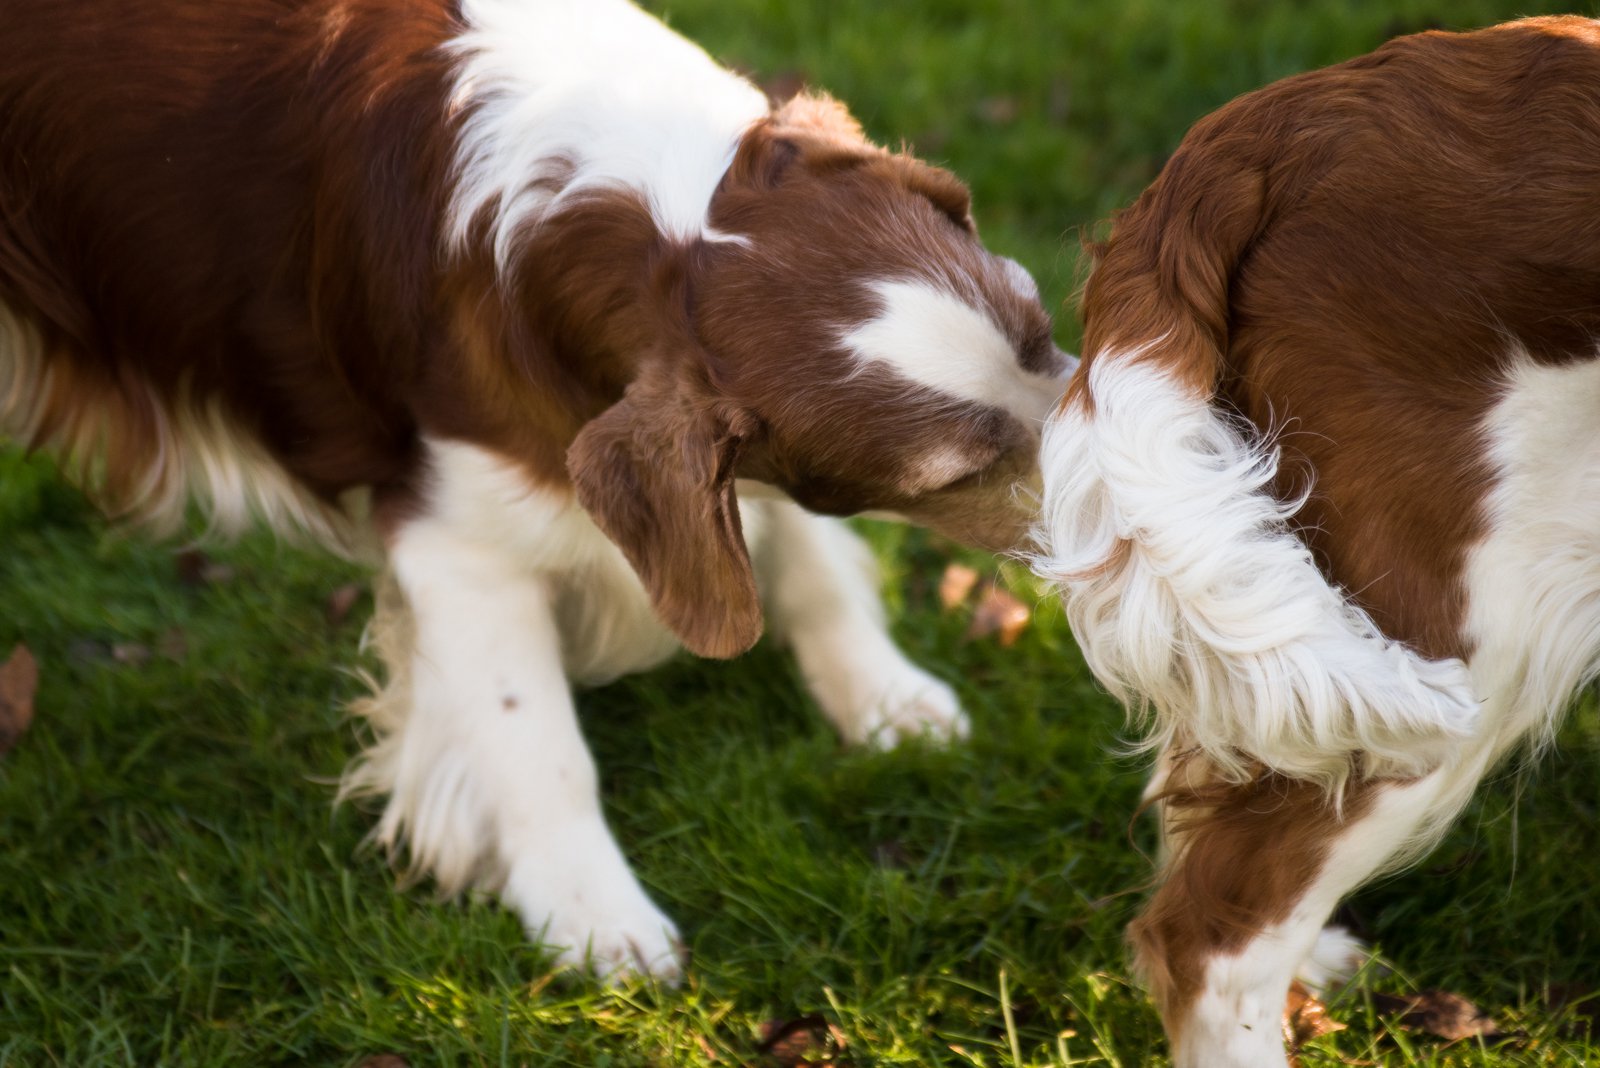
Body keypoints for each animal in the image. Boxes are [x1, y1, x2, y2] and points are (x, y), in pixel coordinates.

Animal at [3, 0, 1075, 978]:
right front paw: (595, 918)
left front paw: (883, 697)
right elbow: (537, 742)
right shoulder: (457, 534)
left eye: (1041, 332)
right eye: (960, 471)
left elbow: (803, 554)